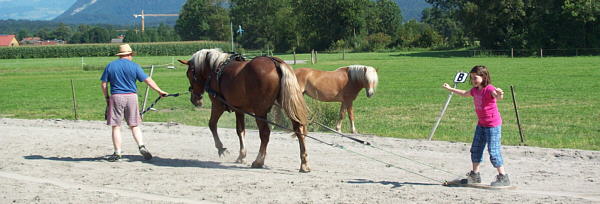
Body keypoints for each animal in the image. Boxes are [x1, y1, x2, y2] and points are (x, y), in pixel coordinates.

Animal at [178, 49, 312, 172]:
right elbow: (240, 131)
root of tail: (275, 62)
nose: (194, 99)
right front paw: (242, 155)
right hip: (287, 106)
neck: (215, 69)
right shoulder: (239, 110)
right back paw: (304, 163)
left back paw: (259, 161)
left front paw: (221, 148)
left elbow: (212, 124)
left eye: (189, 74)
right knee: (298, 129)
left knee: (265, 133)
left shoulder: (217, 105)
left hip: (260, 111)